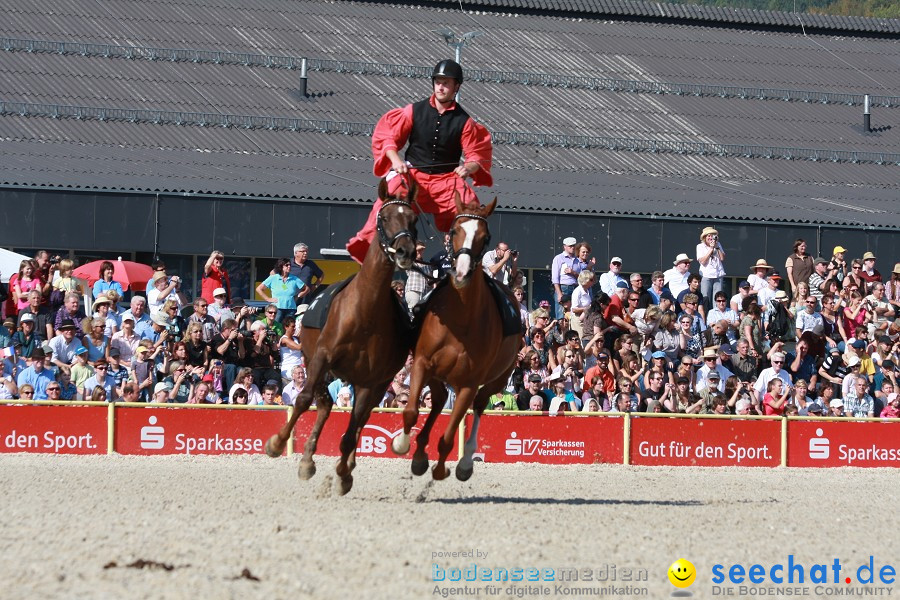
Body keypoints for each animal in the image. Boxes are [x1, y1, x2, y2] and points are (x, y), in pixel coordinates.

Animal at [266, 176, 420, 494]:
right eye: (384, 217)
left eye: (413, 218)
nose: (405, 252)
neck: (365, 311)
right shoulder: (321, 358)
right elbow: (303, 400)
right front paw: (277, 443)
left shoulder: (373, 381)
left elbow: (353, 429)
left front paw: (343, 473)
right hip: (316, 362)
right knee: (323, 404)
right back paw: (307, 460)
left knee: (356, 420)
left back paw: (341, 465)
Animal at [392, 195, 520, 480]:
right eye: (454, 231)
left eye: (486, 237)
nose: (460, 273)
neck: (460, 320)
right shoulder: (422, 363)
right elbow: (410, 411)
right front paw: (402, 444)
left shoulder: (468, 384)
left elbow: (449, 436)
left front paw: (442, 468)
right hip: (438, 375)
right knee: (439, 400)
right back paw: (420, 453)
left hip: (498, 378)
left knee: (480, 403)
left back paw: (465, 460)